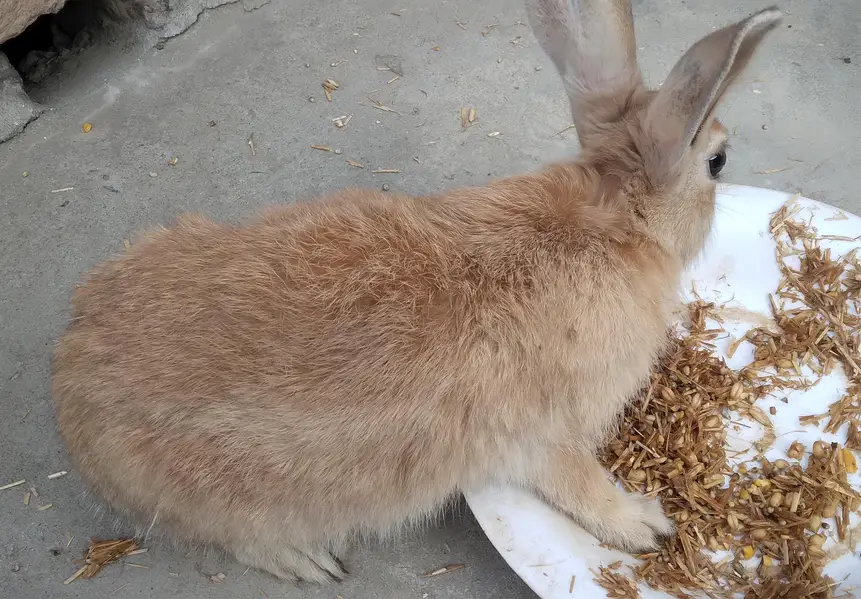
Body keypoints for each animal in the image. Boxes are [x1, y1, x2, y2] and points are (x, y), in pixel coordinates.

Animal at [52, 0, 782, 584]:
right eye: (715, 162)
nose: (729, 155)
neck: (612, 222)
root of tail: (69, 390)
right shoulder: (546, 433)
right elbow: (578, 485)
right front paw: (645, 525)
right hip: (232, 499)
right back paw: (306, 561)